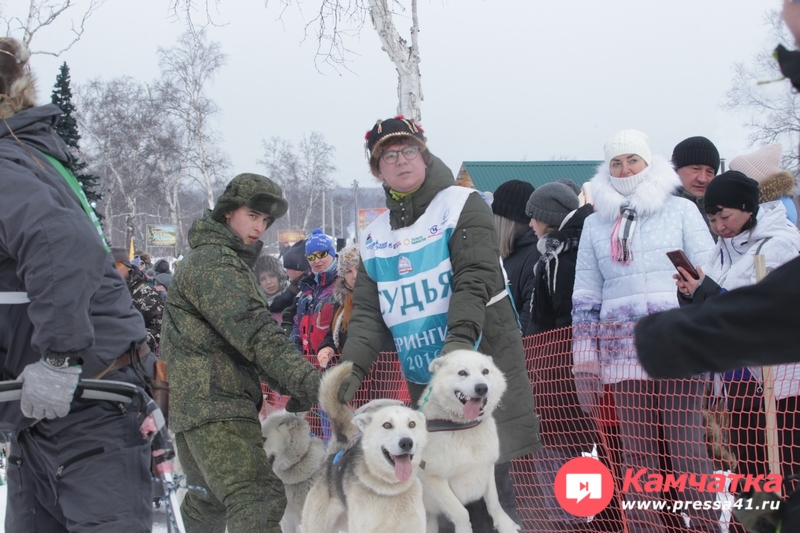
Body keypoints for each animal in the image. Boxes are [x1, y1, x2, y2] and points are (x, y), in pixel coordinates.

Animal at [416, 350, 520, 532]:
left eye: (485, 371)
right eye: (462, 373)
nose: (481, 388)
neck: (464, 427)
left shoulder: (487, 467)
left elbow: (494, 502)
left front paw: (505, 525)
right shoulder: (432, 478)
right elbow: (461, 513)